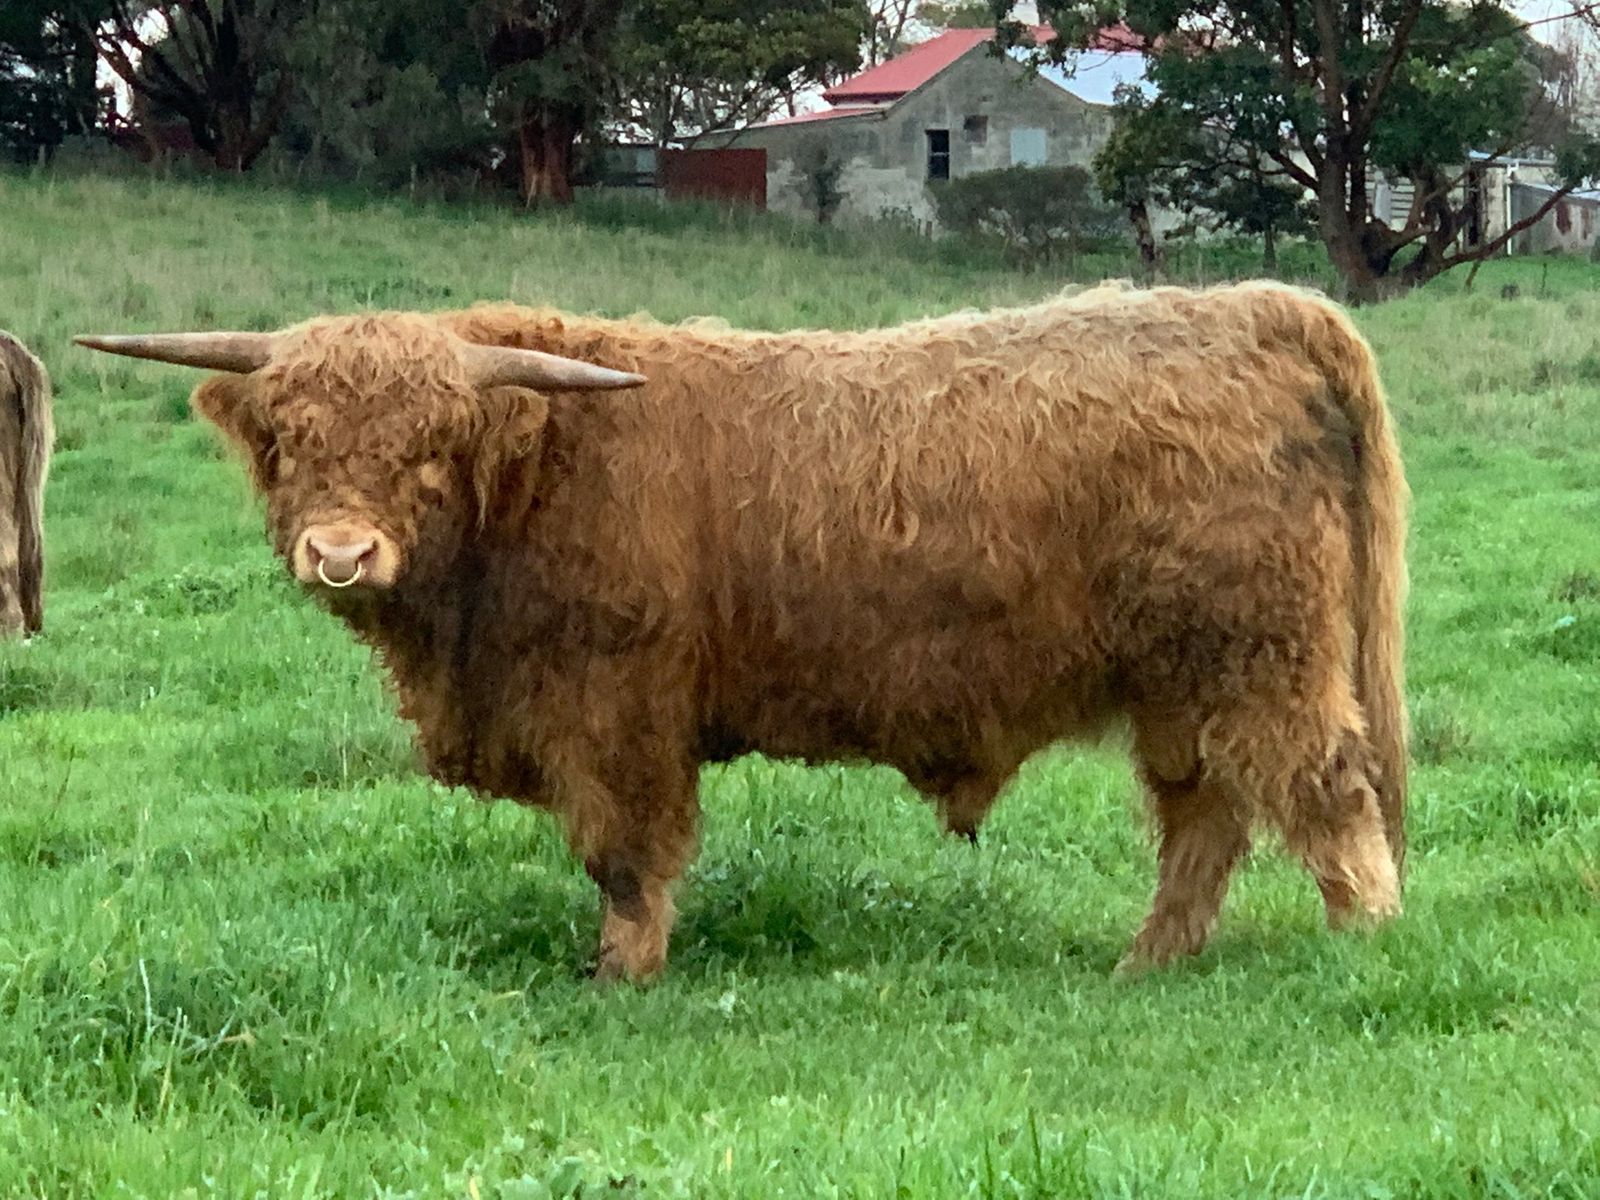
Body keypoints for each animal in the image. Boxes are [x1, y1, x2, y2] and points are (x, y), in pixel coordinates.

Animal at [78, 280, 1409, 983]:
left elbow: (626, 854)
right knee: (1204, 813)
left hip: (1261, 658)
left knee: (1321, 790)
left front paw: (621, 976)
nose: (342, 554)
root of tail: (1248, 305)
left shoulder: (616, 711)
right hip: (1183, 680)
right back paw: (1151, 960)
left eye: (428, 446)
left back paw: (1367, 947)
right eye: (292, 440)